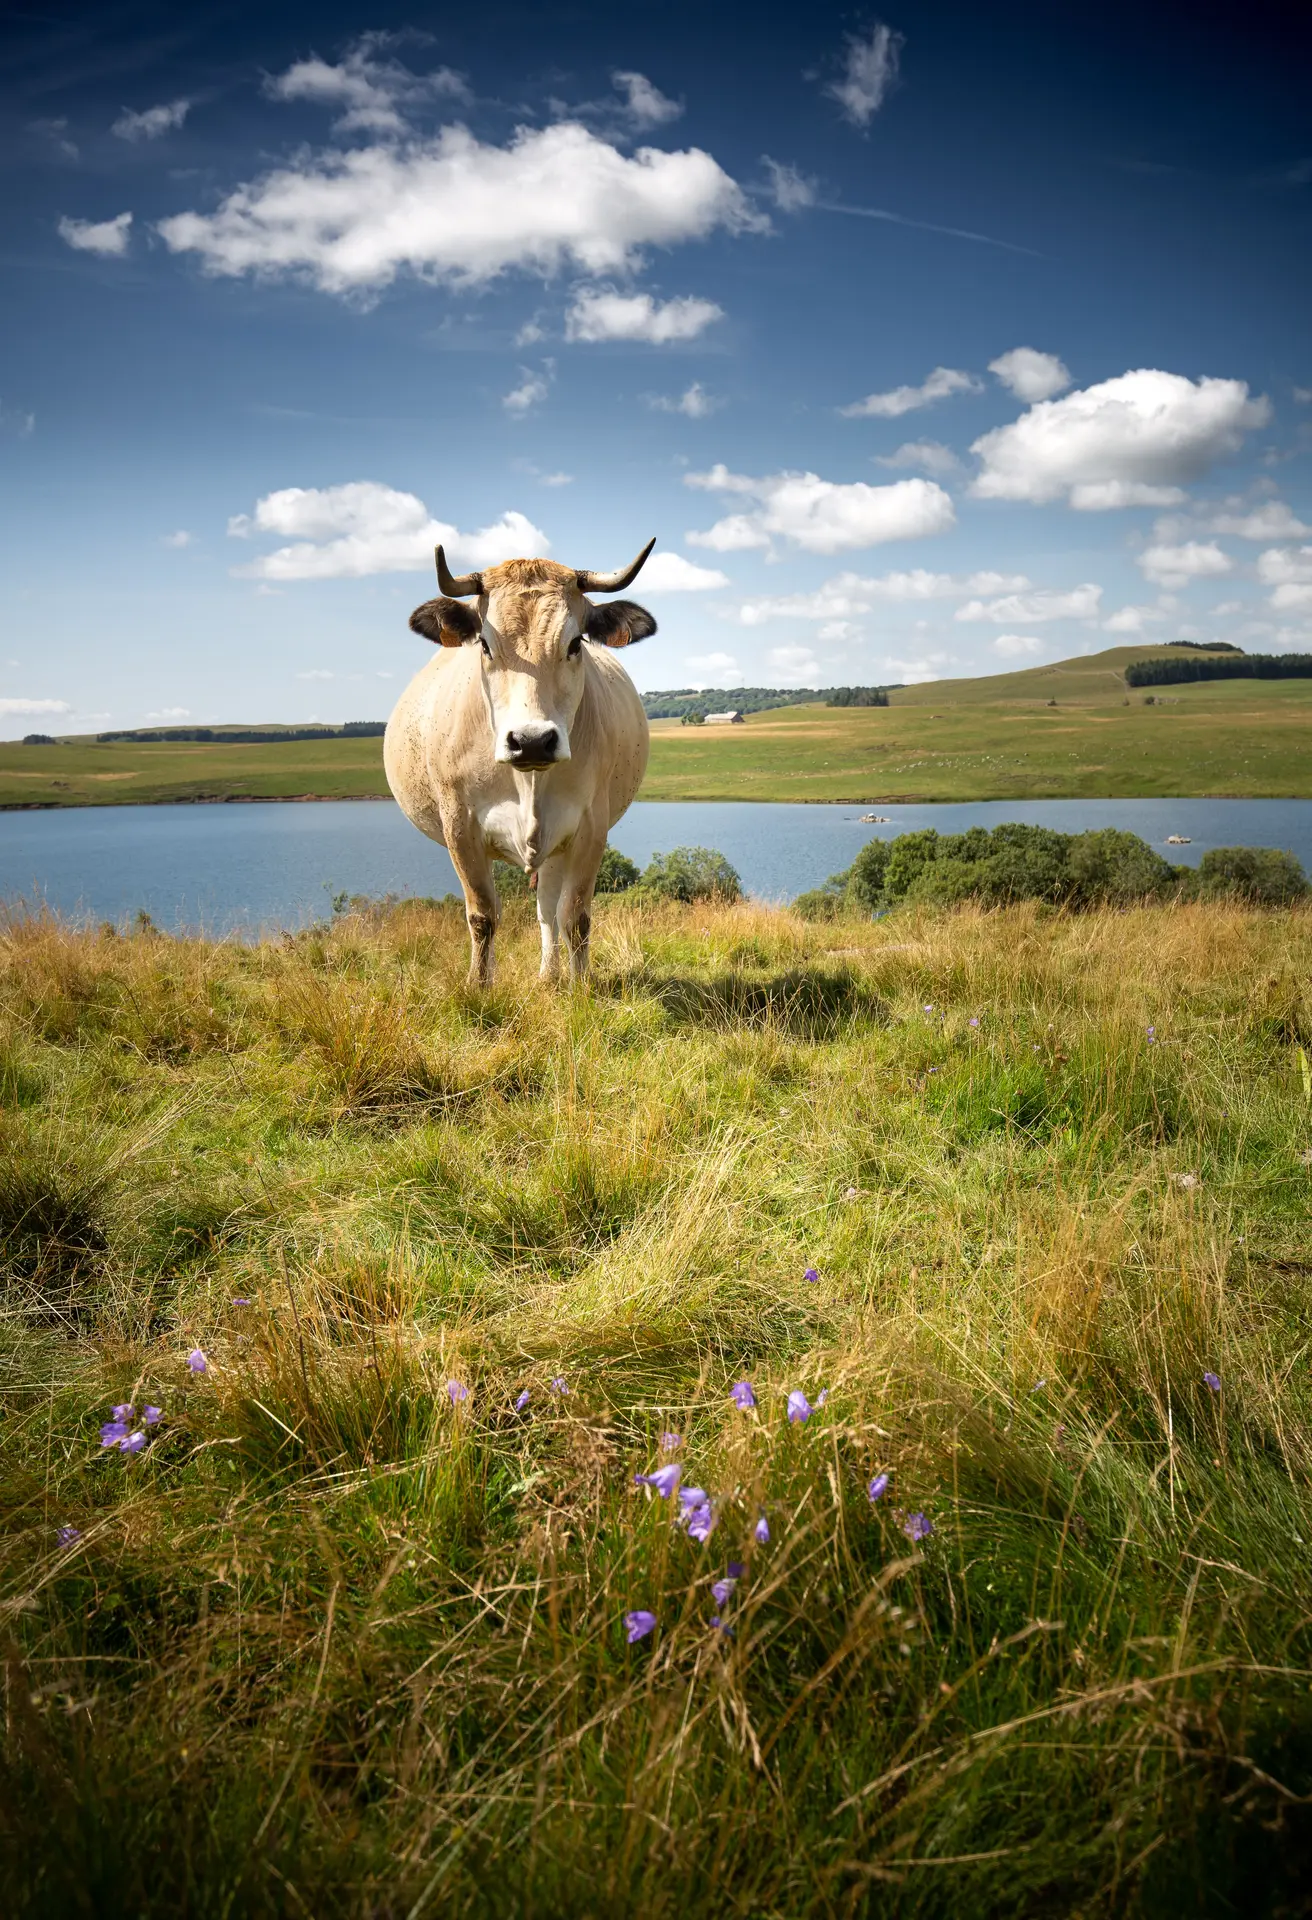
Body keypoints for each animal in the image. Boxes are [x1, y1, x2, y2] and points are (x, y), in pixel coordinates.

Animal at [384, 540, 656, 986]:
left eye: (576, 643)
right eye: (484, 644)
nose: (532, 742)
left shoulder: (590, 828)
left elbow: (575, 916)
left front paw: (582, 989)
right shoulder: (459, 827)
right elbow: (482, 916)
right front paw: (478, 986)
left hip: (555, 845)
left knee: (548, 910)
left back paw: (549, 975)